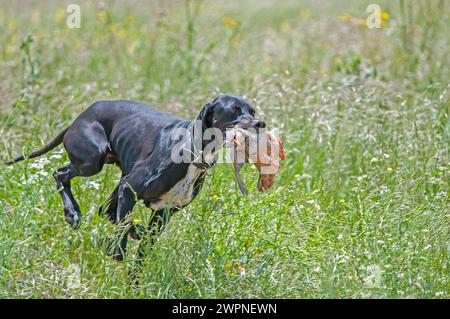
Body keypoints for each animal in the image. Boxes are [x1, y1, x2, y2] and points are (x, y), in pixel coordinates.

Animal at [7, 94, 266, 260]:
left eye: (252, 111)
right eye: (233, 110)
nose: (260, 123)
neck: (193, 152)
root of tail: (79, 117)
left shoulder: (164, 212)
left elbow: (142, 242)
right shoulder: (130, 188)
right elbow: (125, 230)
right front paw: (118, 251)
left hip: (117, 176)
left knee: (105, 210)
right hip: (94, 160)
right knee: (60, 174)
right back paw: (72, 213)